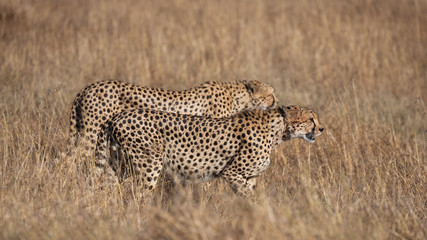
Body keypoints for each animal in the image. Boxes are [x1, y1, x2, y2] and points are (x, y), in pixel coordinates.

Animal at [96, 105, 324, 195]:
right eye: (310, 119)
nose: (322, 128)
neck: (278, 131)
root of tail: (117, 116)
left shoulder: (250, 177)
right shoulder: (232, 173)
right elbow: (248, 197)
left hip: (118, 165)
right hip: (149, 165)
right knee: (139, 195)